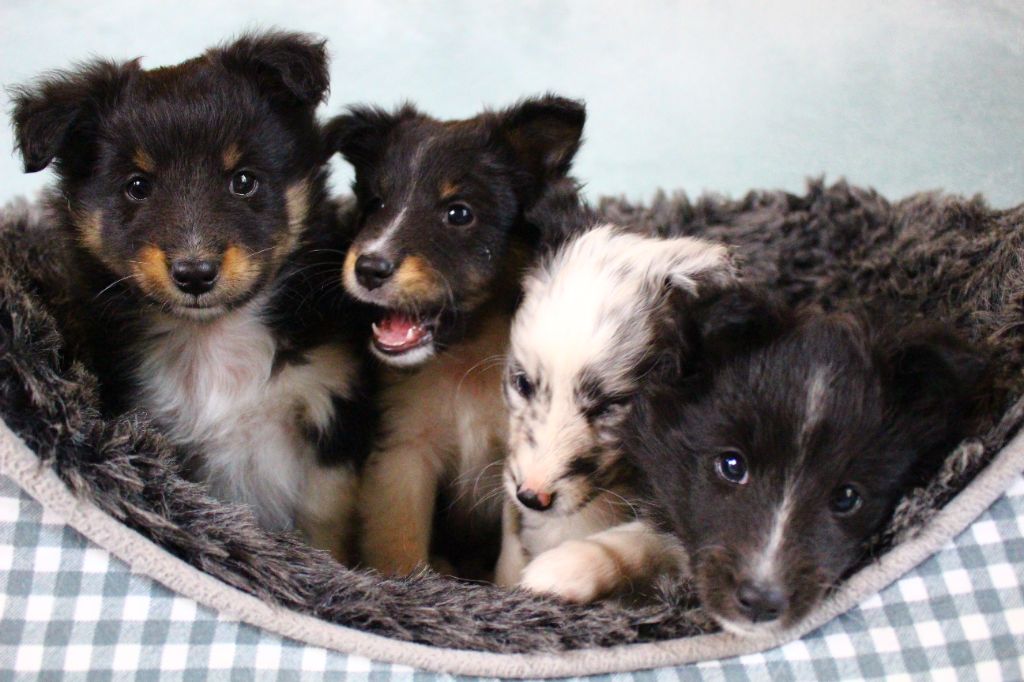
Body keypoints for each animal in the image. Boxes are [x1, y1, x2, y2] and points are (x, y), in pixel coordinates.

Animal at [9, 31, 378, 557]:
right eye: (137, 186)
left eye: (243, 180)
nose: (195, 273)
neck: (213, 338)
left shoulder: (331, 418)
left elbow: (323, 523)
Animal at [325, 95, 585, 573]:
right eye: (376, 203)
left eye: (459, 213)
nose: (368, 267)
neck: (467, 359)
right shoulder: (404, 451)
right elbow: (399, 546)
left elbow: (513, 561)